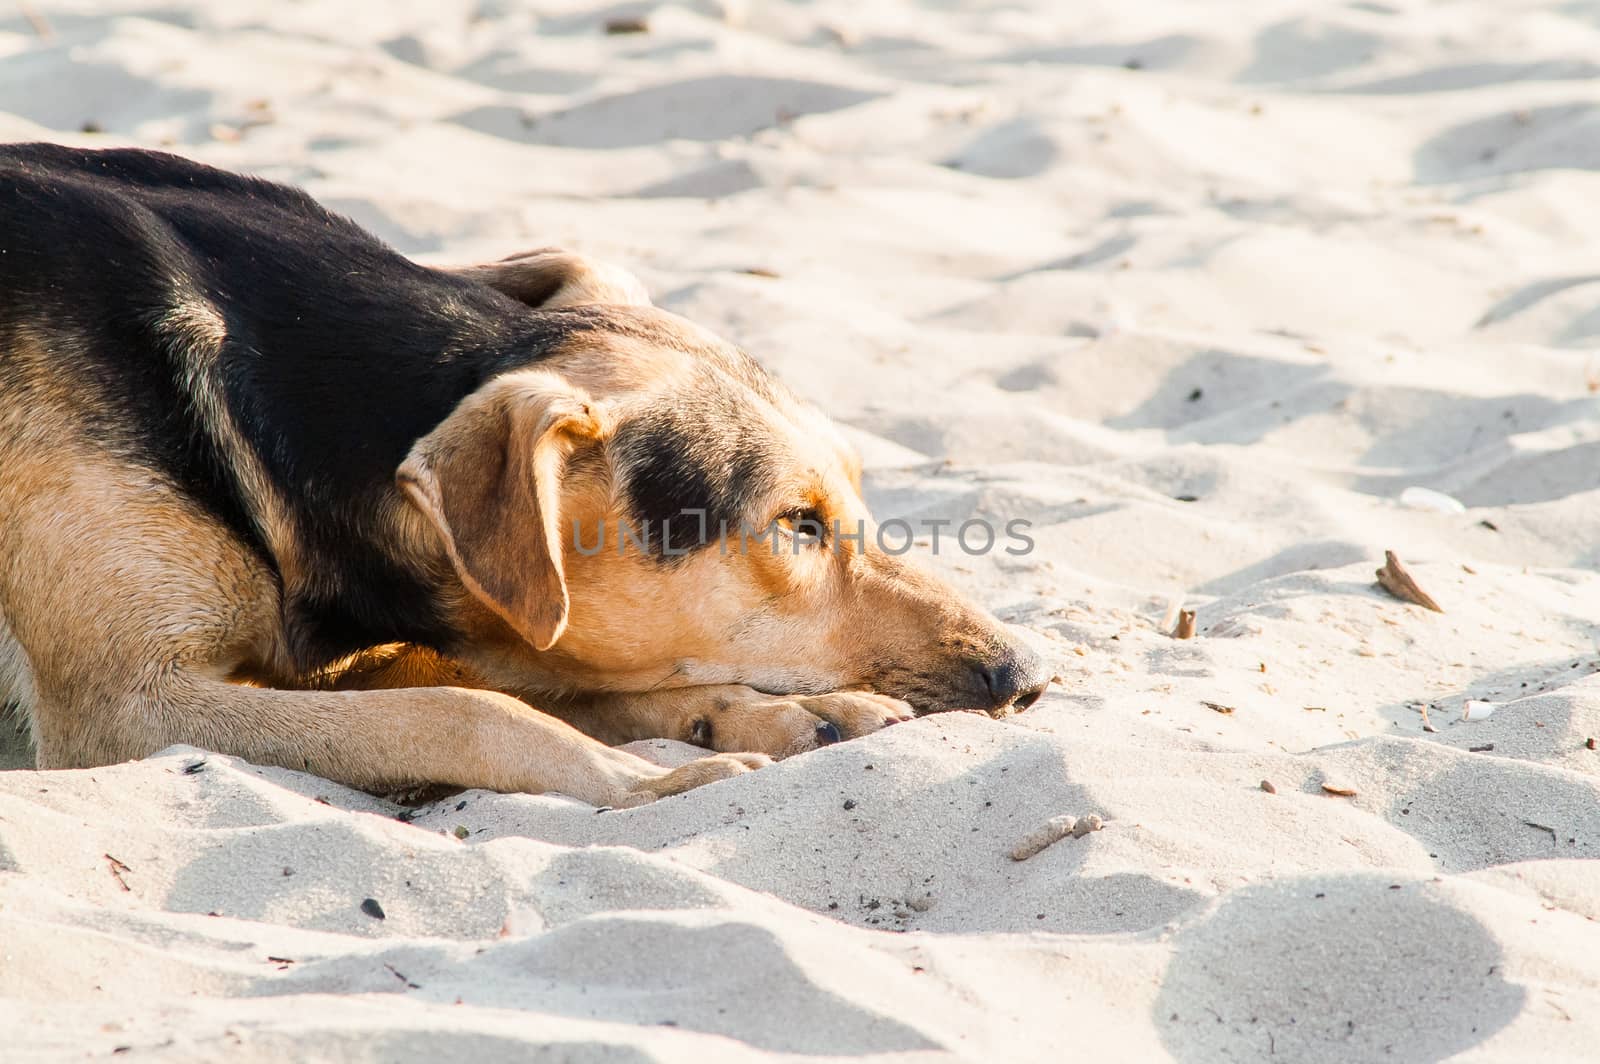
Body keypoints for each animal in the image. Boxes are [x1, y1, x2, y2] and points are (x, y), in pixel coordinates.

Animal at [0, 143, 1056, 806]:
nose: (1029, 675)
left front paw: (779, 716)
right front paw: (643, 779)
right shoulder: (126, 710)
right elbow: (472, 710)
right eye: (796, 522)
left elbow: (547, 684)